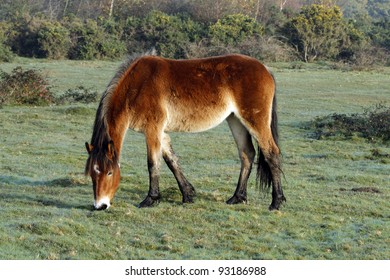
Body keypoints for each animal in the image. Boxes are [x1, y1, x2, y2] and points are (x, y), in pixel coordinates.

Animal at [84, 53, 286, 210]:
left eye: (109, 173)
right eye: (92, 174)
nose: (100, 205)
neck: (136, 86)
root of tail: (265, 68)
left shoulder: (153, 130)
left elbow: (153, 164)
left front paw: (151, 199)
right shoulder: (161, 133)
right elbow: (172, 161)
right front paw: (188, 195)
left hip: (255, 121)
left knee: (271, 153)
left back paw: (276, 202)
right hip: (235, 120)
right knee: (247, 154)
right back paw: (237, 197)